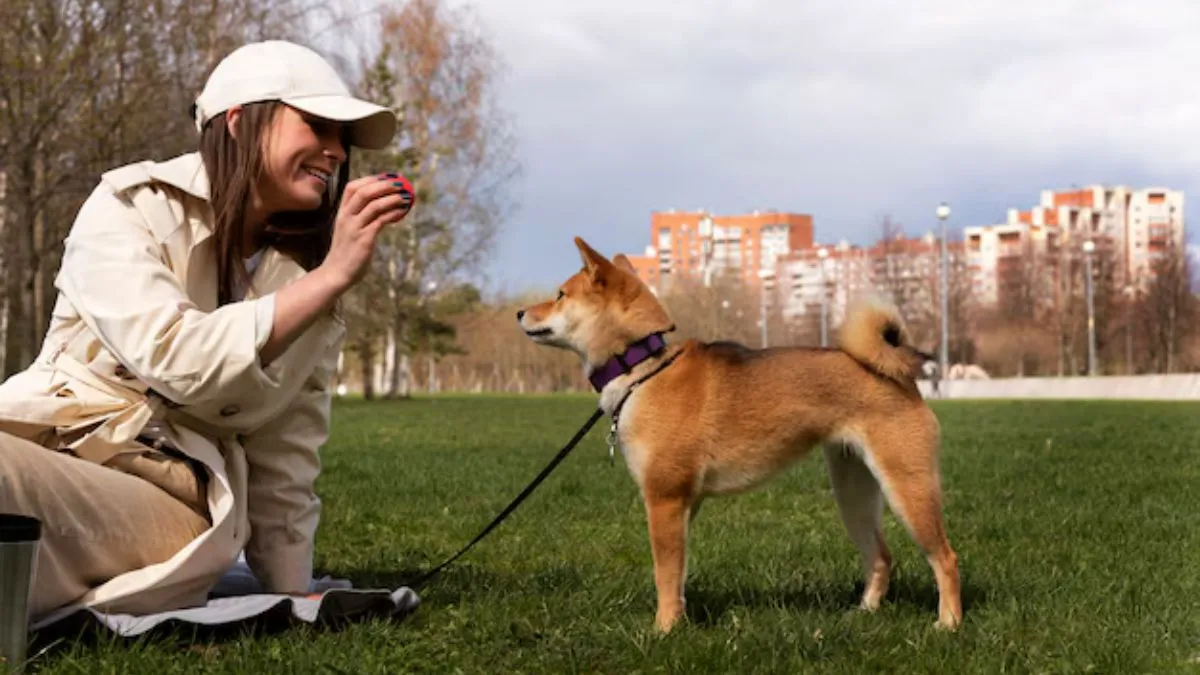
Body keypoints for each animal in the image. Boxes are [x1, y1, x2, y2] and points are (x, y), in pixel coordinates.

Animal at [518, 235, 964, 629]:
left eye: (560, 295)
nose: (520, 313)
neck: (642, 366)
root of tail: (899, 375)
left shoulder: (664, 500)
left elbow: (664, 575)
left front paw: (663, 630)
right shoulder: (685, 505)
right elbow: (677, 576)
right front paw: (678, 621)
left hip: (907, 487)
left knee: (945, 557)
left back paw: (948, 623)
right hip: (853, 492)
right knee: (881, 557)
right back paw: (865, 613)